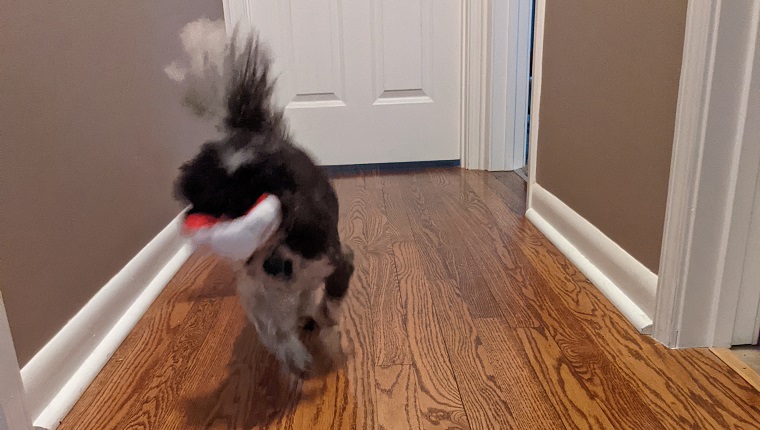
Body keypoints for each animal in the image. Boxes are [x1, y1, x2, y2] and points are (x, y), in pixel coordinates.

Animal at [169, 21, 354, 376]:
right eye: (215, 207)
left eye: (249, 200)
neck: (275, 249)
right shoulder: (257, 293)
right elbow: (273, 331)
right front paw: (294, 356)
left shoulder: (336, 261)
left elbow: (331, 301)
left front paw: (326, 322)